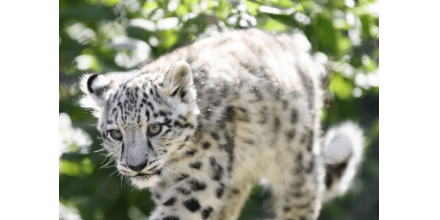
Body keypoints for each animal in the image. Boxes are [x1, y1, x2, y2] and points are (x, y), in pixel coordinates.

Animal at [80, 28, 364, 220]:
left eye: (154, 128)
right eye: (116, 133)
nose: (136, 166)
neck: (174, 166)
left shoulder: (201, 180)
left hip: (298, 168)